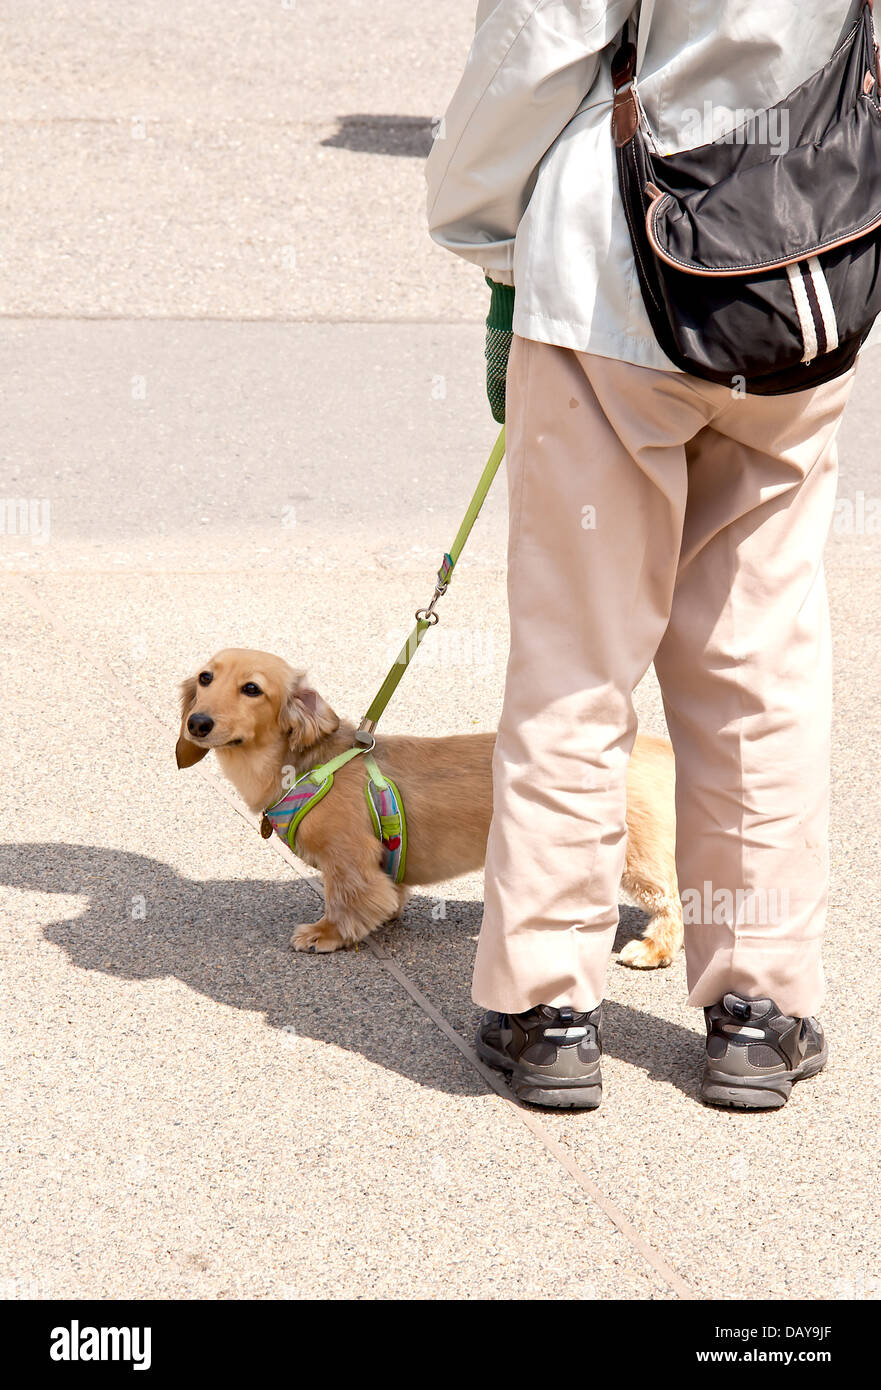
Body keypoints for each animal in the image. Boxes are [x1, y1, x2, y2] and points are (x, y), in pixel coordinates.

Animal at [173, 647, 678, 956]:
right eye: (205, 678)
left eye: (252, 689)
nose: (197, 723)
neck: (305, 767)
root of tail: (651, 744)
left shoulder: (348, 861)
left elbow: (346, 901)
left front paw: (326, 933)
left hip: (637, 857)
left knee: (677, 900)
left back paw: (653, 949)